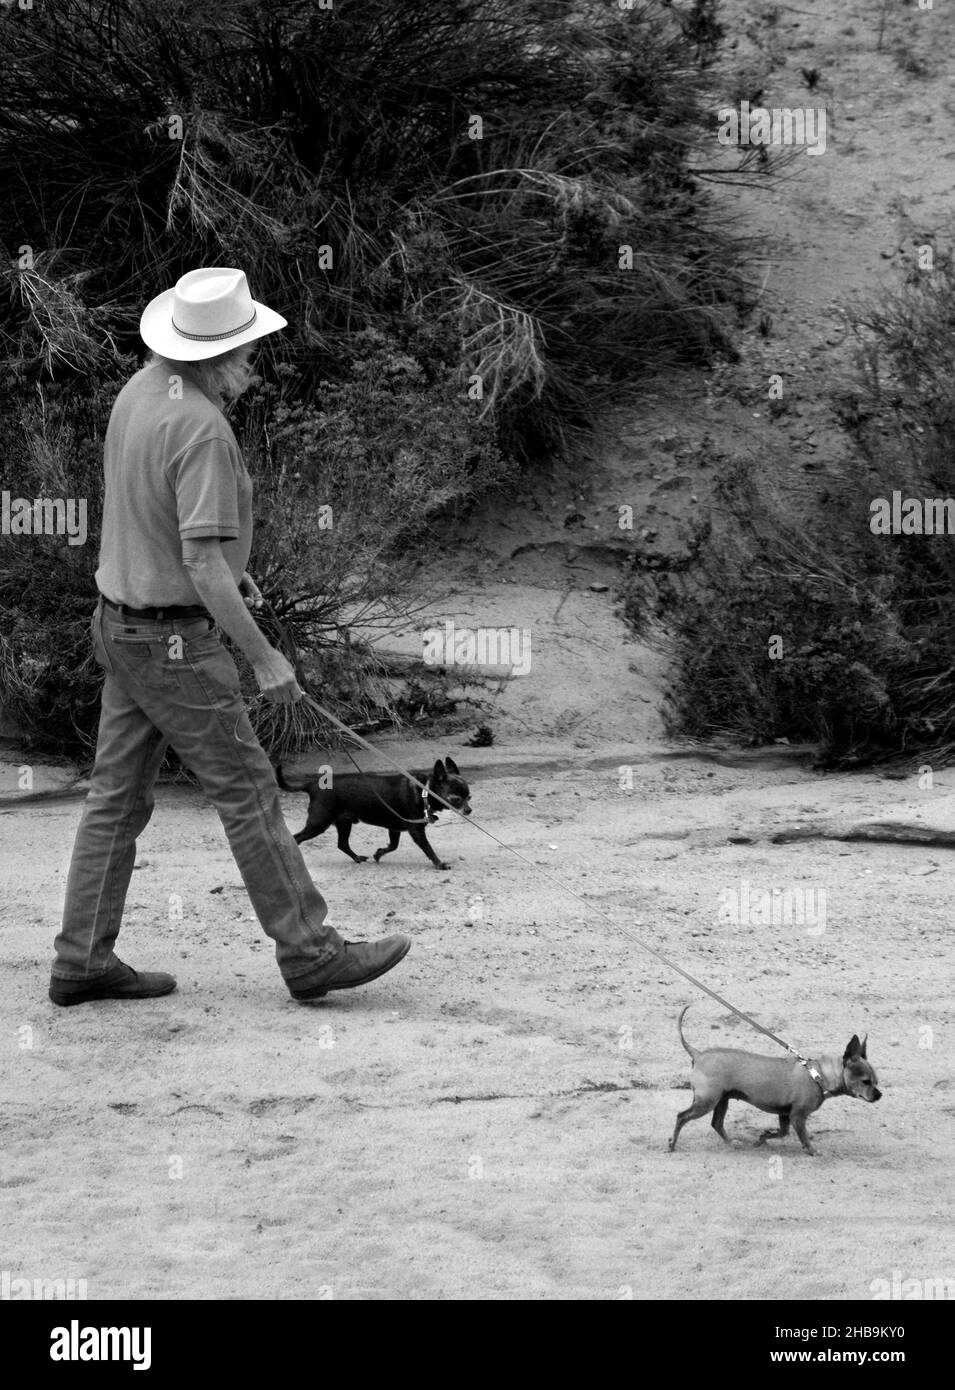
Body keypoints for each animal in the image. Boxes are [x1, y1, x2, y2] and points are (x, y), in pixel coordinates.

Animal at [275, 761, 472, 867]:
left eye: (469, 797)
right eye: (456, 799)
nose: (469, 810)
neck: (423, 791)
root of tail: (312, 785)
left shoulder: (395, 829)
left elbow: (392, 846)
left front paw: (378, 853)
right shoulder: (416, 831)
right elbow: (428, 849)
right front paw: (439, 864)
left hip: (344, 823)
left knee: (342, 844)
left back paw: (357, 858)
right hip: (319, 823)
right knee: (297, 837)